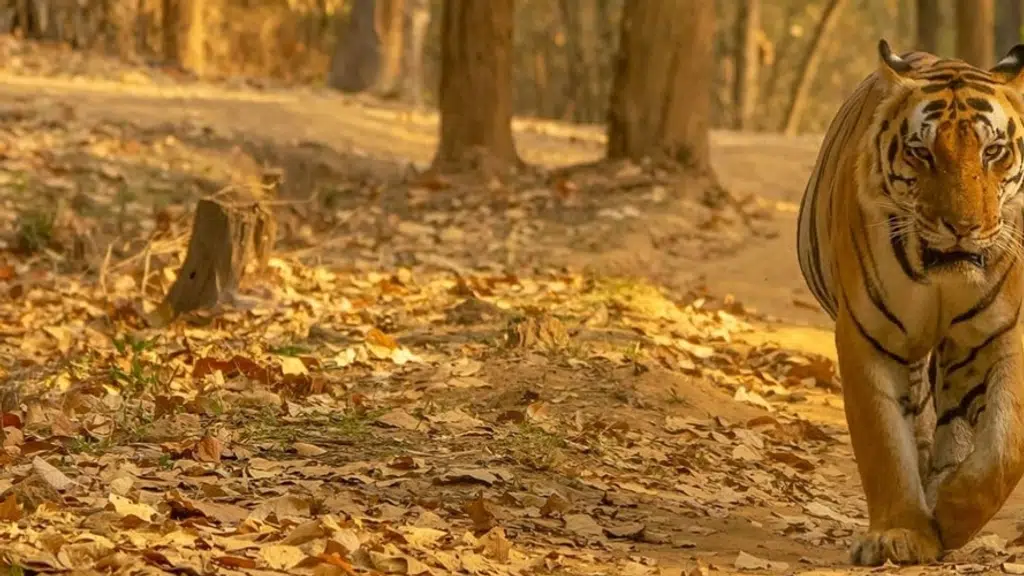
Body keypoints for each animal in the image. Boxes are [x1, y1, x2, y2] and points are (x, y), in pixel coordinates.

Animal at [796, 39, 1024, 566]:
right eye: (922, 153)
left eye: (993, 152)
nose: (963, 227)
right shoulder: (869, 338)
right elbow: (883, 443)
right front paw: (900, 533)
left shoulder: (1003, 335)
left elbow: (1004, 449)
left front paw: (952, 512)